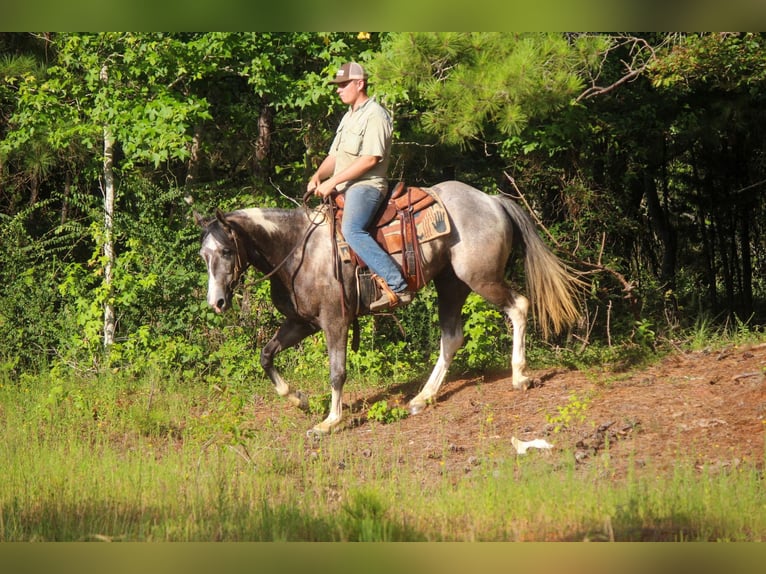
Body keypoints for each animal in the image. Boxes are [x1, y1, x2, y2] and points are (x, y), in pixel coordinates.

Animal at [195, 180, 584, 436]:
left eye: (227, 251)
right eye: (203, 255)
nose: (216, 303)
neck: (296, 250)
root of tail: (491, 200)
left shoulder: (335, 321)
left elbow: (337, 372)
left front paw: (330, 421)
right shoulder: (301, 323)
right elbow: (266, 355)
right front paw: (299, 399)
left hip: (481, 277)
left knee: (518, 306)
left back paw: (520, 376)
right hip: (451, 284)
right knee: (452, 337)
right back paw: (422, 398)